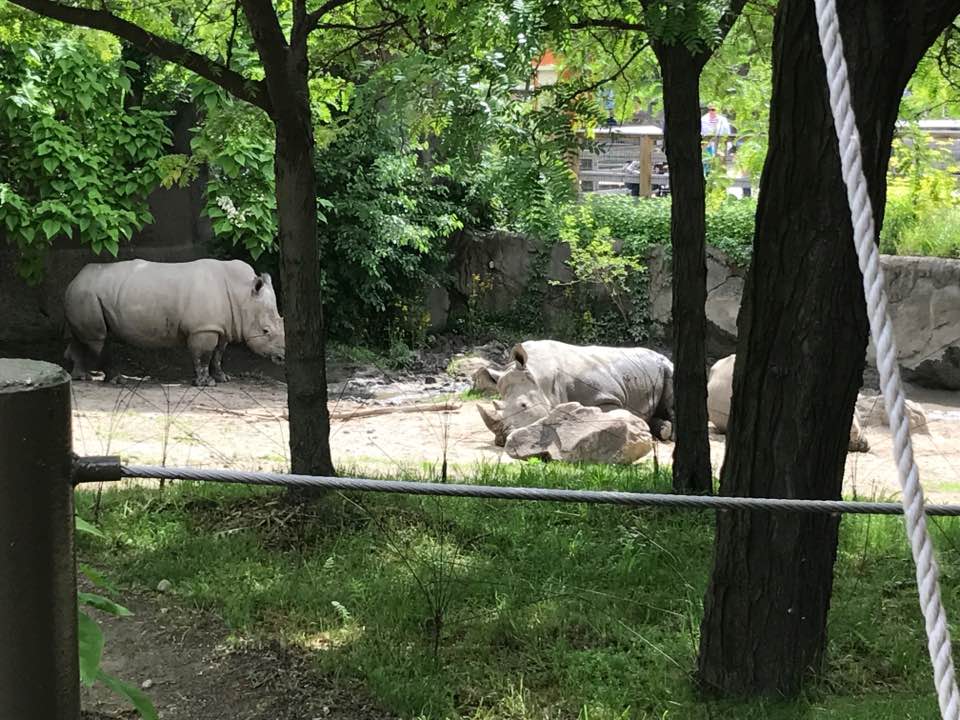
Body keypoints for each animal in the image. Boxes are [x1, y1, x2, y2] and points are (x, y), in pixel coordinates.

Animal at [63, 258, 285, 386]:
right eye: (266, 331)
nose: (283, 357)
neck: (243, 295)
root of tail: (75, 279)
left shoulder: (221, 326)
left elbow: (218, 353)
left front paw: (223, 378)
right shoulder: (203, 328)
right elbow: (204, 355)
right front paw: (206, 383)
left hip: (86, 295)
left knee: (85, 337)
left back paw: (81, 377)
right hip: (87, 294)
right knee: (98, 339)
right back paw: (116, 380)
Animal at [476, 340, 675, 446]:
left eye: (524, 405)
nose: (502, 439)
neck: (539, 375)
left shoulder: (606, 397)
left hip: (667, 367)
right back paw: (663, 430)